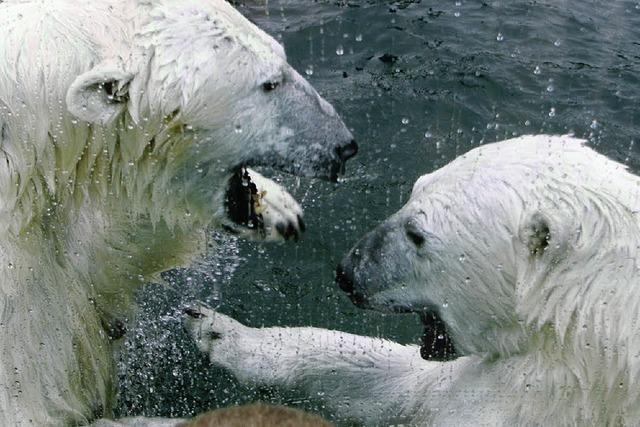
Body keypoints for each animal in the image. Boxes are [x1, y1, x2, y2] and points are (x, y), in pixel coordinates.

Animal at [188, 136, 640, 427]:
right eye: (414, 189)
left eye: (417, 234)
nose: (347, 272)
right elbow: (400, 385)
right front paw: (218, 330)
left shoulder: (542, 392)